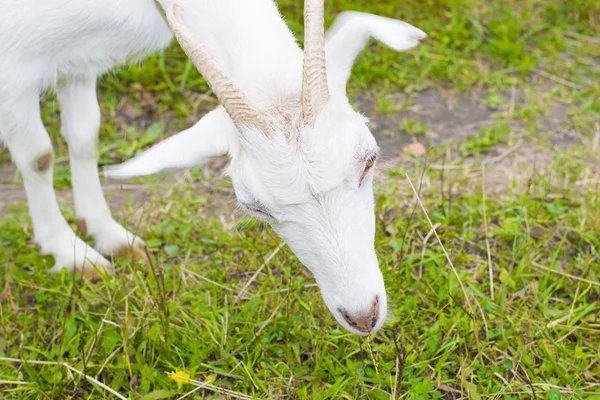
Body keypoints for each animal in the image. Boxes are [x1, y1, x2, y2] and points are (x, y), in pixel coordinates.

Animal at [0, 0, 424, 334]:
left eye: (369, 160)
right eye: (253, 206)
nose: (363, 316)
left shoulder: (77, 62)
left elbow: (85, 135)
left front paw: (107, 234)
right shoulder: (13, 71)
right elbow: (39, 156)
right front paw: (70, 252)